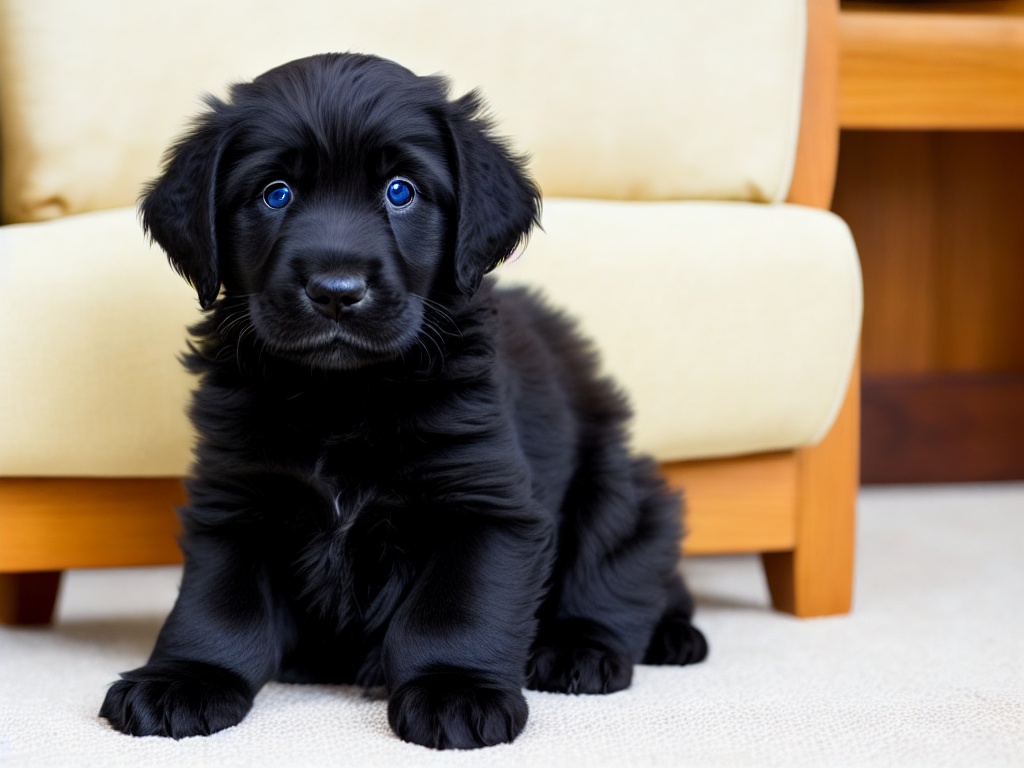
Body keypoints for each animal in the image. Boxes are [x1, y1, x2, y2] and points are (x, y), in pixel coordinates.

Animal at [99, 54, 704, 753]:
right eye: (275, 193)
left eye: (400, 191)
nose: (336, 291)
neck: (342, 398)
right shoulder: (236, 497)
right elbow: (218, 607)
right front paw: (185, 677)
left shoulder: (485, 504)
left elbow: (456, 608)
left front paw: (456, 689)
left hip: (618, 487)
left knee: (622, 577)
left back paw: (595, 647)